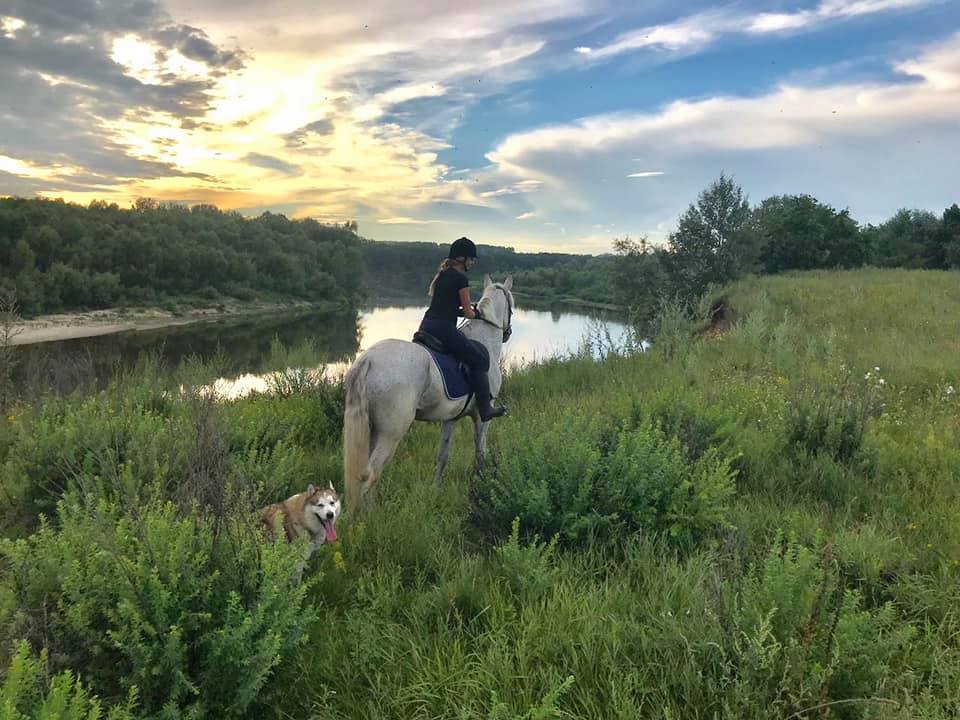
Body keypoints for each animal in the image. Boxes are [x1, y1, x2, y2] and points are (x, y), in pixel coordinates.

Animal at [342, 274, 512, 506]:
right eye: (512, 304)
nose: (507, 333)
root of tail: (368, 360)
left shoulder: (450, 419)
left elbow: (443, 455)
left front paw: (435, 489)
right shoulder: (482, 416)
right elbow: (480, 452)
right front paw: (483, 482)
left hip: (371, 429)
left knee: (363, 472)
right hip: (390, 433)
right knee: (371, 473)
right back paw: (371, 512)